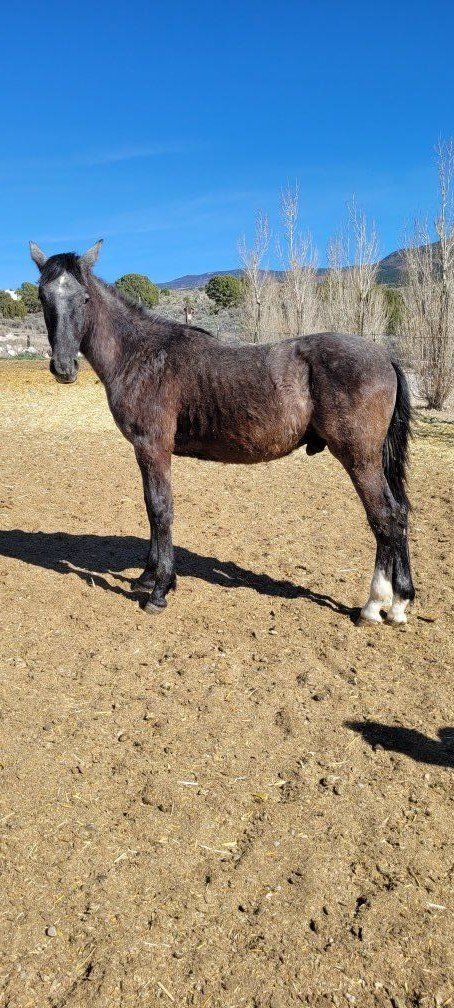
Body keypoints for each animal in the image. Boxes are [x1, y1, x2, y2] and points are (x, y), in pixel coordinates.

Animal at [29, 239, 415, 625]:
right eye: (43, 296)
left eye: (84, 298)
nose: (63, 367)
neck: (141, 355)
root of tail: (384, 355)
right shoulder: (144, 451)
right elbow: (151, 509)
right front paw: (147, 577)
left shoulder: (153, 447)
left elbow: (160, 509)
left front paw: (159, 590)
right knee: (398, 515)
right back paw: (399, 602)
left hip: (359, 458)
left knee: (385, 518)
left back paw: (375, 605)